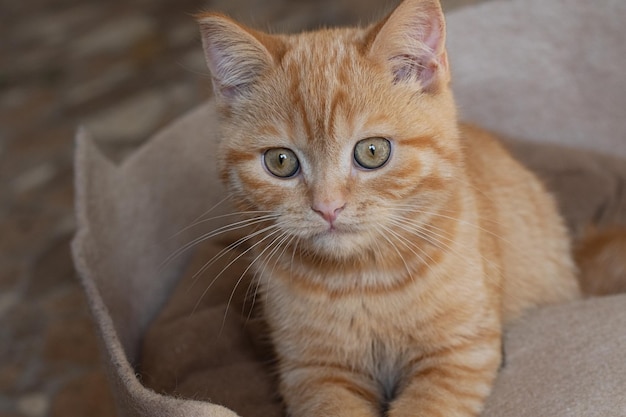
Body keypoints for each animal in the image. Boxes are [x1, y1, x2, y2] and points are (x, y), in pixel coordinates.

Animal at [196, 1, 580, 414]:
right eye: (280, 161)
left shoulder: (460, 355)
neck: (362, 281)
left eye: (372, 151)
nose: (327, 207)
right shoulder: (314, 373)